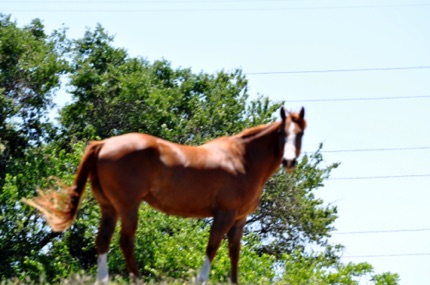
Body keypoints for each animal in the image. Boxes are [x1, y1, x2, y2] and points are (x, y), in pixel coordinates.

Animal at [22, 106, 306, 284]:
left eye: (300, 133)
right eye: (282, 134)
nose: (289, 161)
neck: (242, 158)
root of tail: (103, 144)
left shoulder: (239, 219)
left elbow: (234, 253)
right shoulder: (224, 215)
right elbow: (212, 248)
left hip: (109, 208)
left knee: (102, 242)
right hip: (129, 207)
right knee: (126, 243)